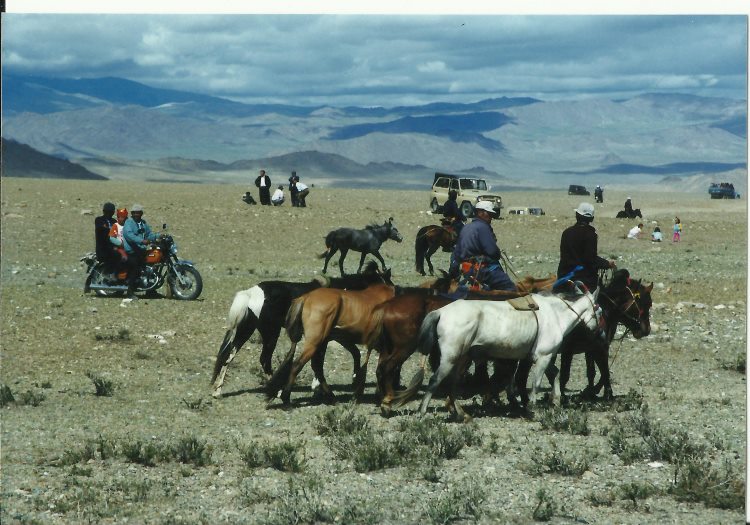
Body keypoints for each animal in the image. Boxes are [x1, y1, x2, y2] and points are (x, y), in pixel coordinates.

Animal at [212, 262, 394, 398]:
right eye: (386, 279)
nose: (395, 292)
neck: (345, 293)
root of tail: (252, 293)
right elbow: (322, 359)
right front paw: (319, 386)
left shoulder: (336, 336)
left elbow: (352, 353)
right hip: (270, 332)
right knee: (264, 359)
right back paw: (276, 389)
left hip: (247, 329)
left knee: (229, 354)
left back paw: (218, 390)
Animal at [402, 282, 604, 422]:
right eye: (600, 310)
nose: (601, 333)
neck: (555, 315)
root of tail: (441, 312)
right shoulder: (543, 357)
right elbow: (537, 383)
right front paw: (533, 408)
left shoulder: (546, 357)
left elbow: (554, 374)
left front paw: (556, 401)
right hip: (451, 358)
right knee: (435, 381)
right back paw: (422, 412)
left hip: (458, 359)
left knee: (451, 385)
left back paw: (462, 415)